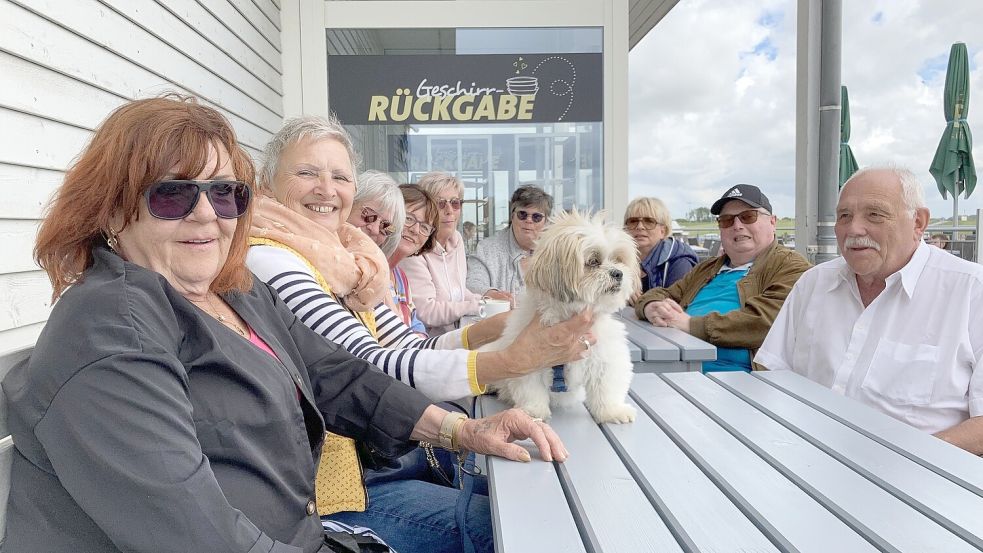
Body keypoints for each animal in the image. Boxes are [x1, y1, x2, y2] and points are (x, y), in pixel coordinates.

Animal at [488, 210, 640, 422]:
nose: (618, 273)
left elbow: (606, 387)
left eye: (618, 260)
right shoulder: (527, 360)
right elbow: (531, 390)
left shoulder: (606, 357)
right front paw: (533, 411)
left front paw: (612, 410)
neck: (568, 317)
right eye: (593, 261)